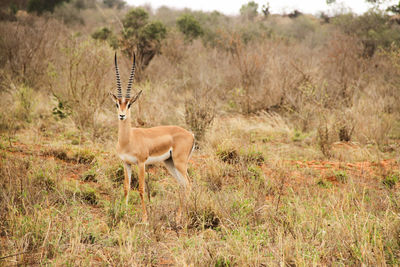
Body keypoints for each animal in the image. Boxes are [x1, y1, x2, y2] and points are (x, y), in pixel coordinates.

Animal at [110, 53, 195, 223]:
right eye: (117, 104)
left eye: (129, 104)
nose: (122, 115)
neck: (128, 140)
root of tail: (191, 134)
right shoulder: (126, 163)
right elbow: (126, 188)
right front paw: (124, 213)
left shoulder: (141, 163)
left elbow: (141, 188)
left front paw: (144, 218)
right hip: (170, 163)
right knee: (182, 185)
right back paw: (178, 216)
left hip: (180, 163)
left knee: (188, 184)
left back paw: (181, 217)